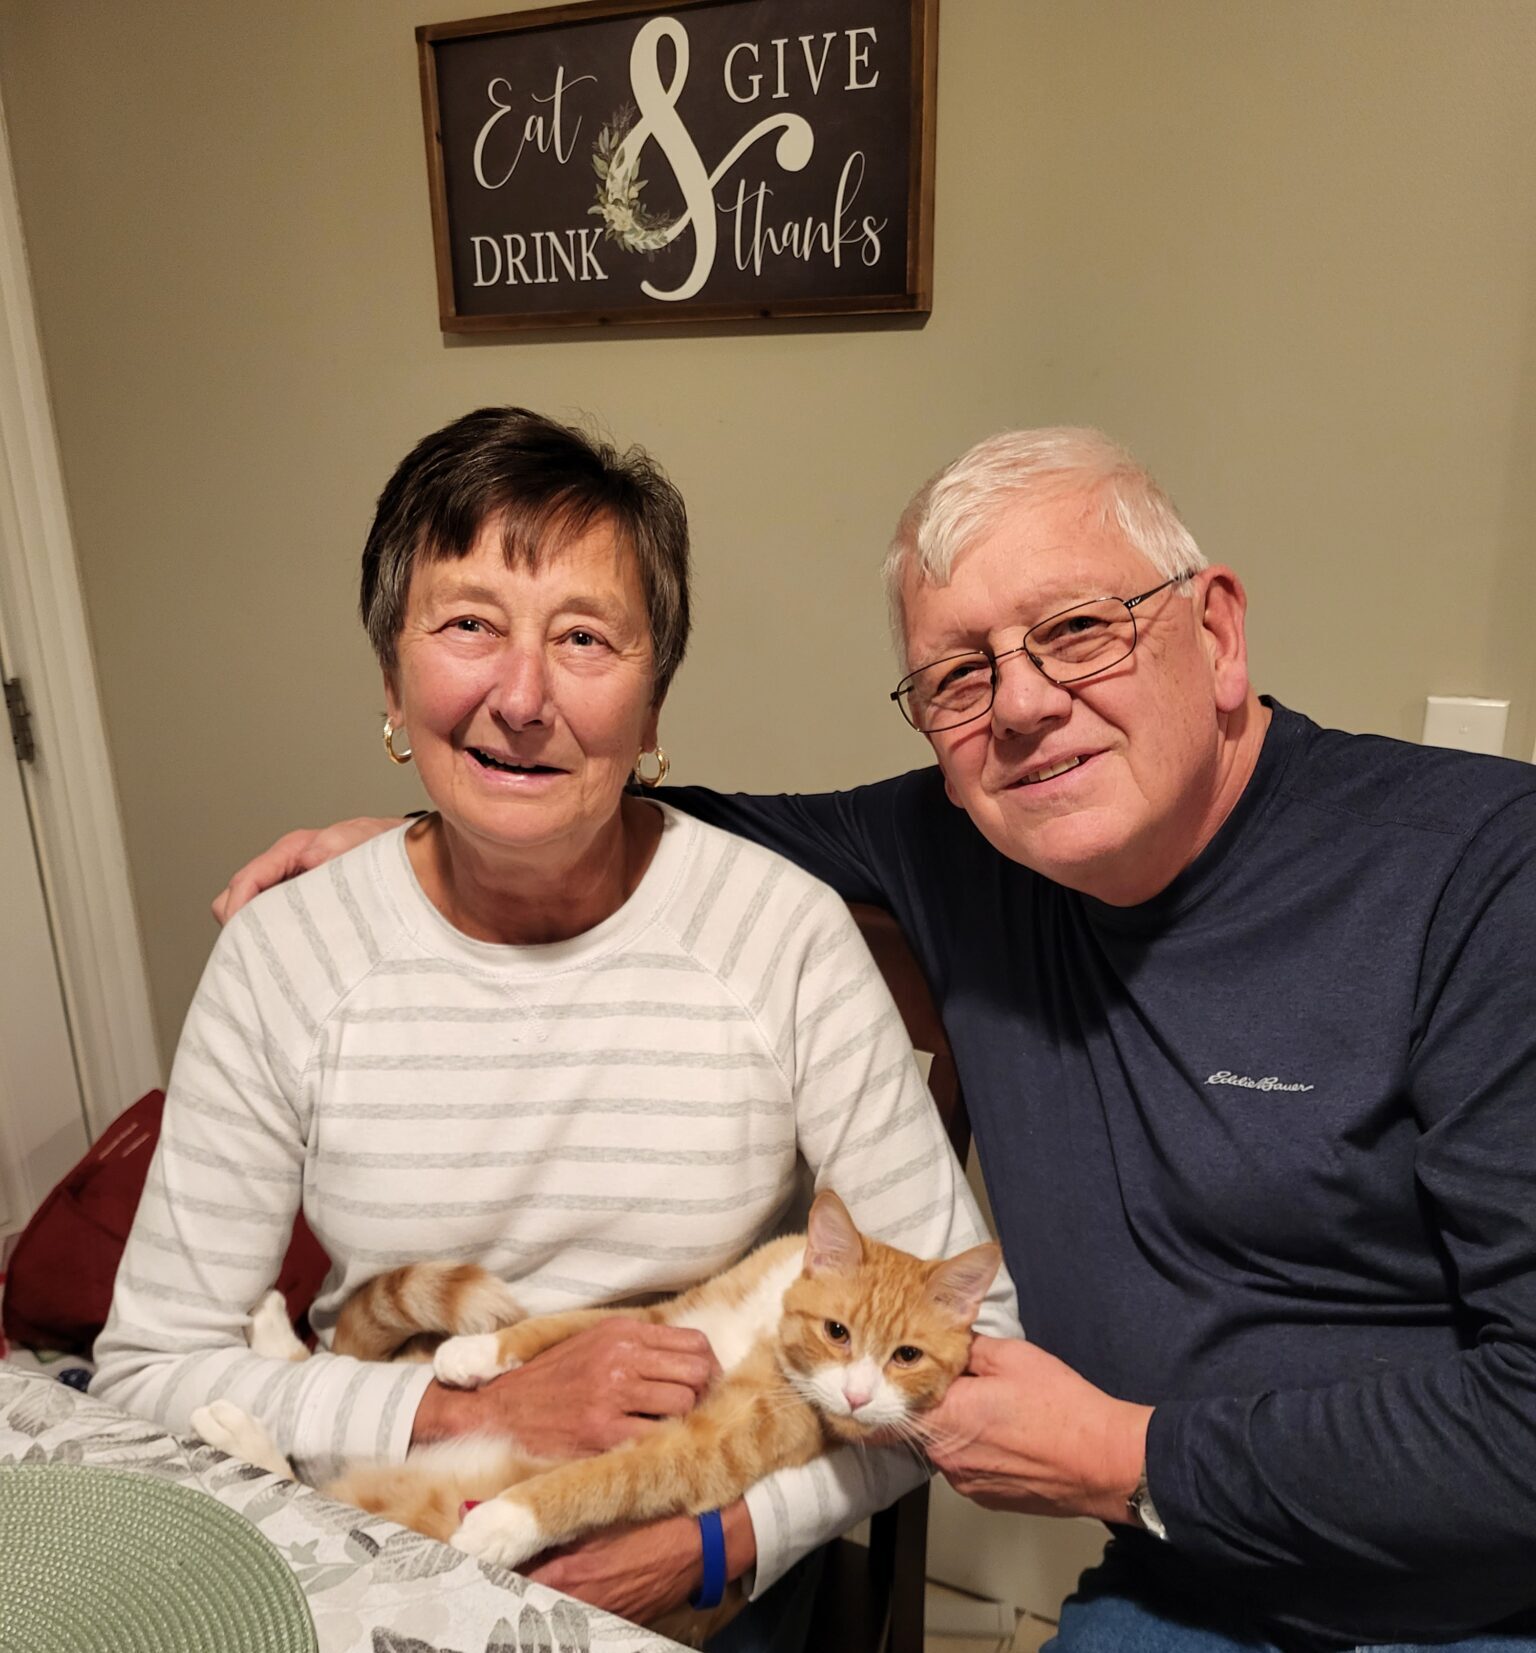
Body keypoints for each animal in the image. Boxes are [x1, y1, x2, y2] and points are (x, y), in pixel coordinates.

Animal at [195, 1203, 992, 1586]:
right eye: (837, 1331)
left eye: (907, 1357)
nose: (857, 1398)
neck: (769, 1327)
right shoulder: (665, 1319)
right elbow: (560, 1326)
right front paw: (474, 1353)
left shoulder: (705, 1447)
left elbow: (601, 1479)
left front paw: (507, 1521)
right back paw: (271, 1337)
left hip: (401, 1504)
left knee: (312, 1478)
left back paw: (241, 1429)